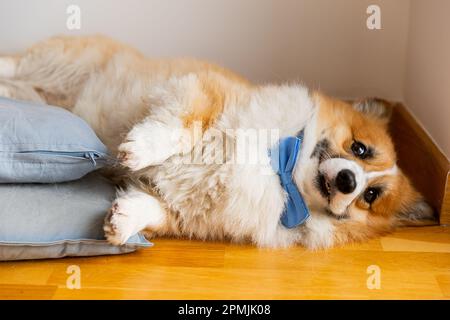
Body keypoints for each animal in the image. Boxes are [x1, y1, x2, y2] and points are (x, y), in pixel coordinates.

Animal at [0, 35, 436, 250]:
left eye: (371, 196)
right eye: (359, 149)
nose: (349, 181)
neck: (279, 171)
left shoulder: (187, 214)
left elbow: (156, 213)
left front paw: (122, 222)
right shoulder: (198, 91)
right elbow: (181, 128)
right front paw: (138, 149)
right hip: (55, 64)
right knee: (13, 64)